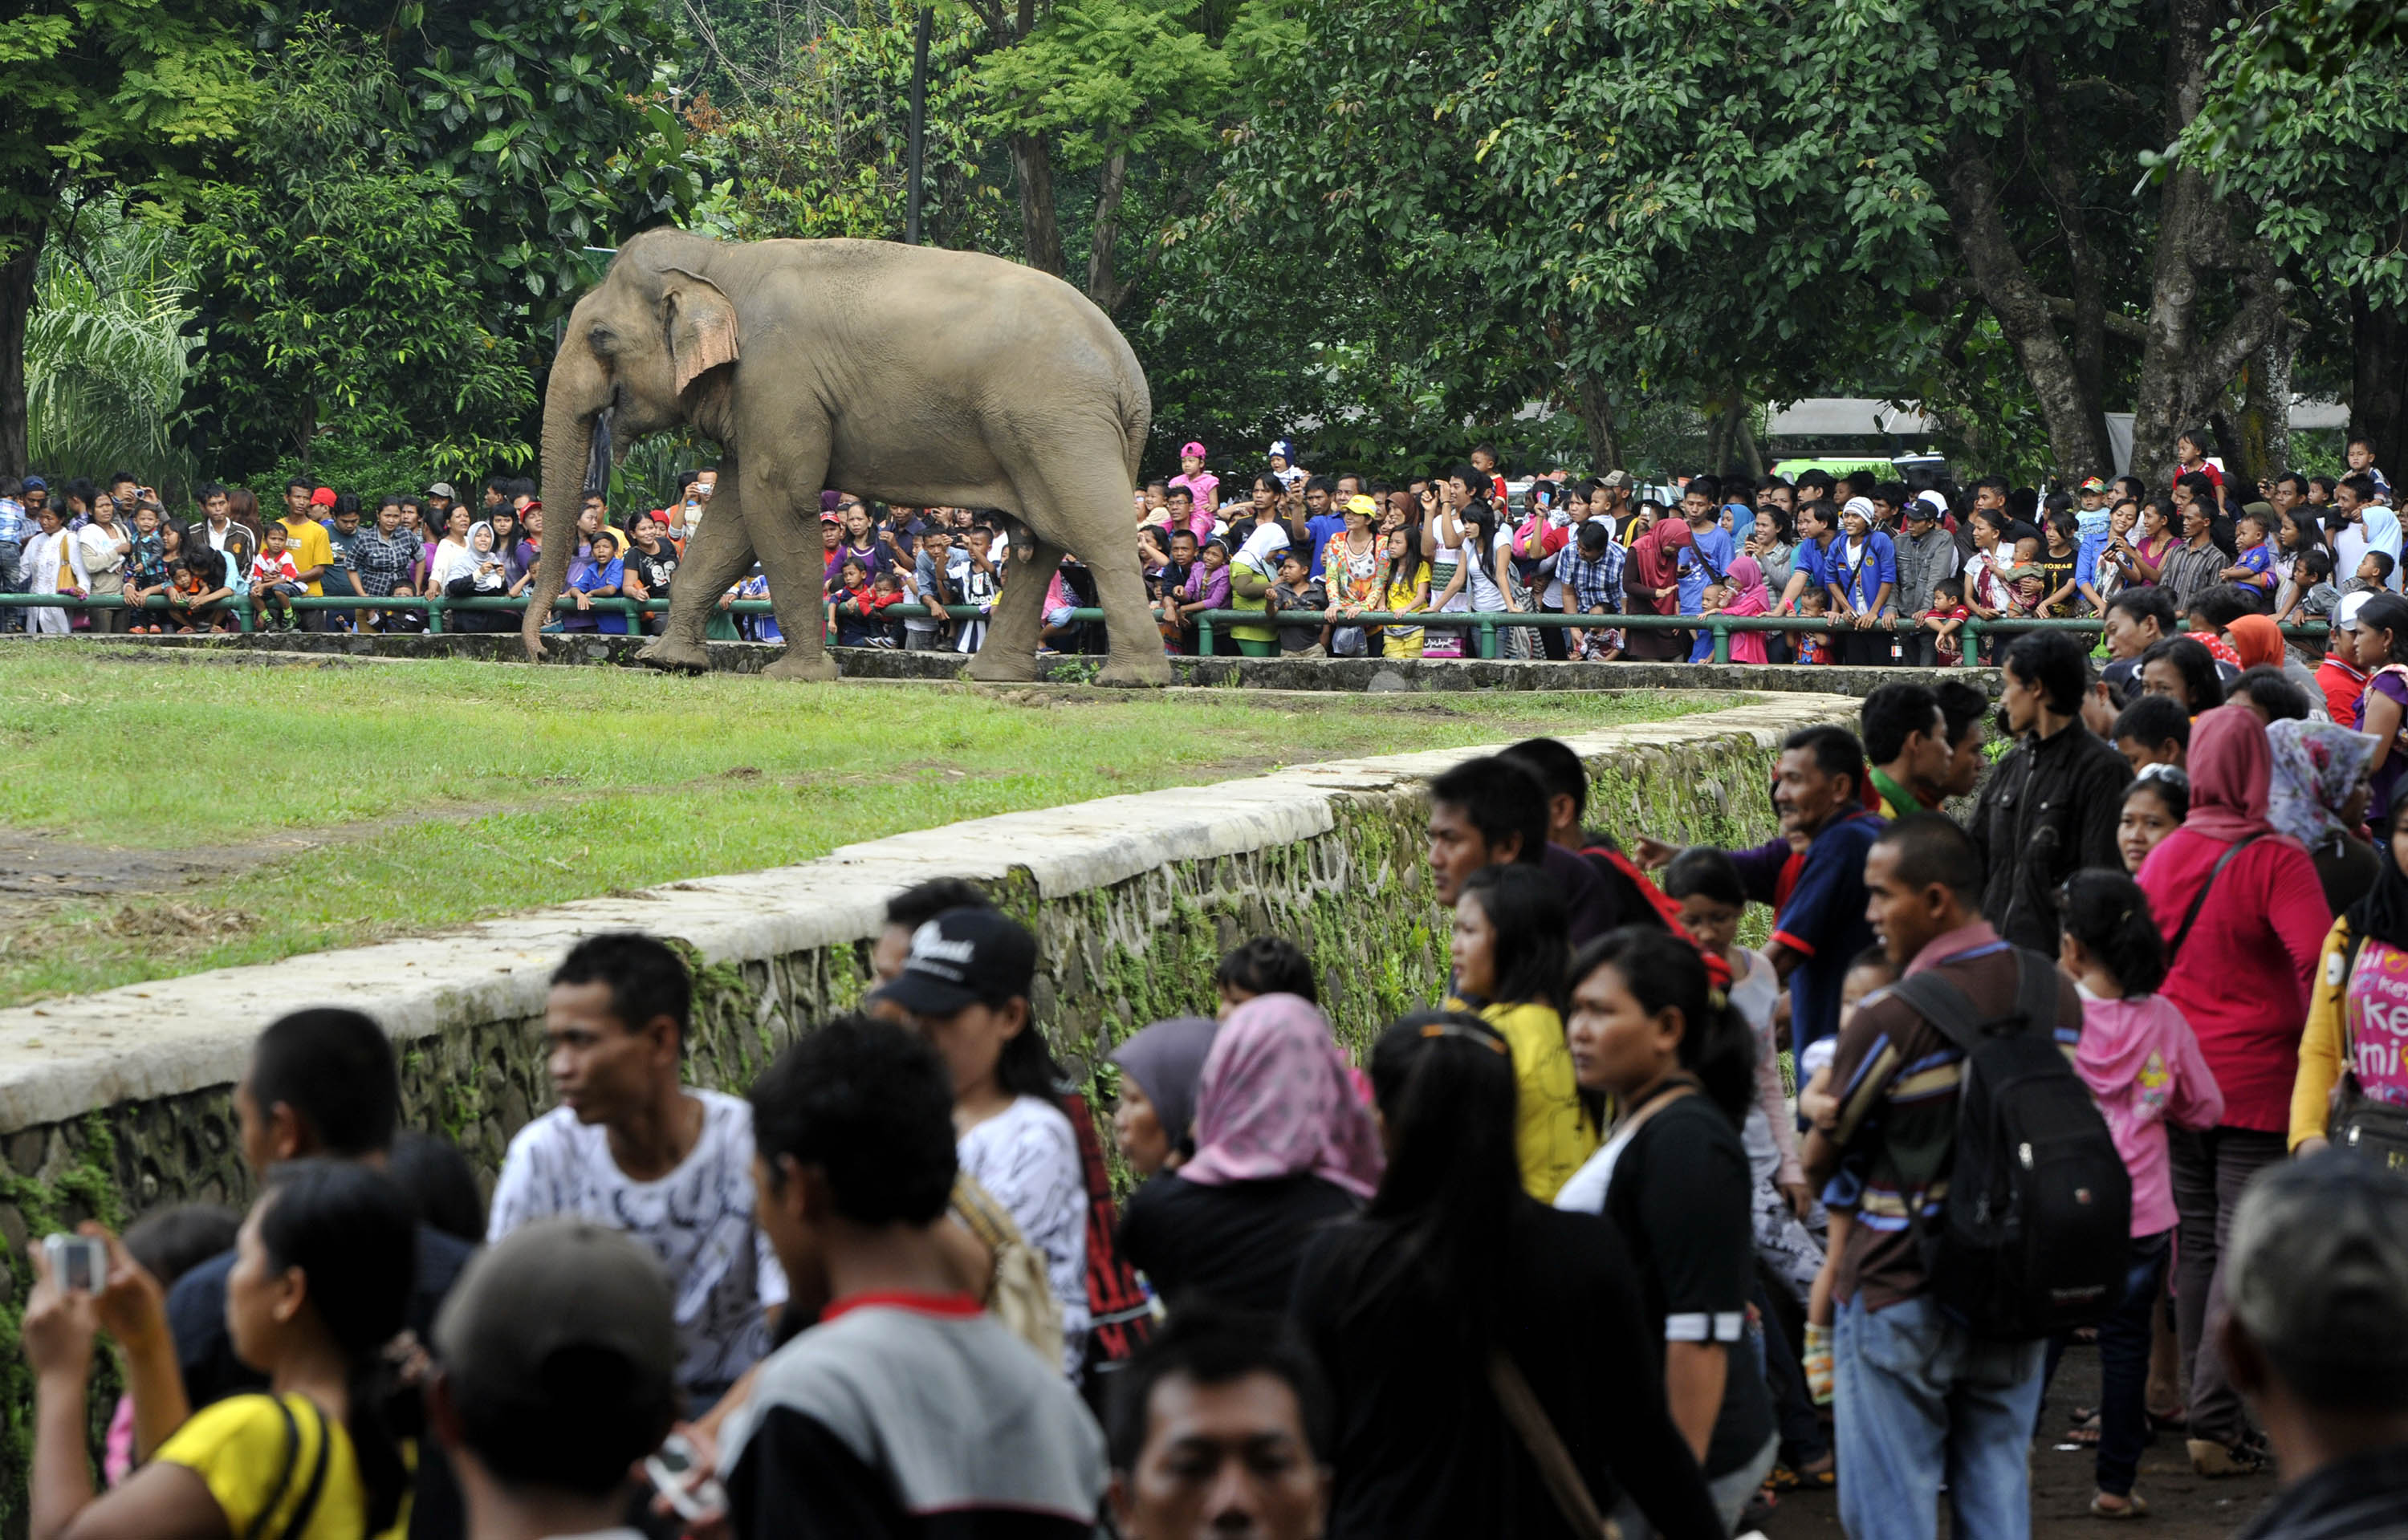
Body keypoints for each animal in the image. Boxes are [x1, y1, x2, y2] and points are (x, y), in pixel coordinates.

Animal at [523, 226, 1170, 683]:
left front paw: (796, 675)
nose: (540, 650)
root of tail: (1130, 371)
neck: (721, 262)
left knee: (1094, 532)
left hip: (1059, 423)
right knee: (1039, 542)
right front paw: (666, 663)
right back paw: (991, 676)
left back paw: (1130, 679)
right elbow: (733, 515)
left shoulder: (777, 380)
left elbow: (776, 502)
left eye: (600, 336)